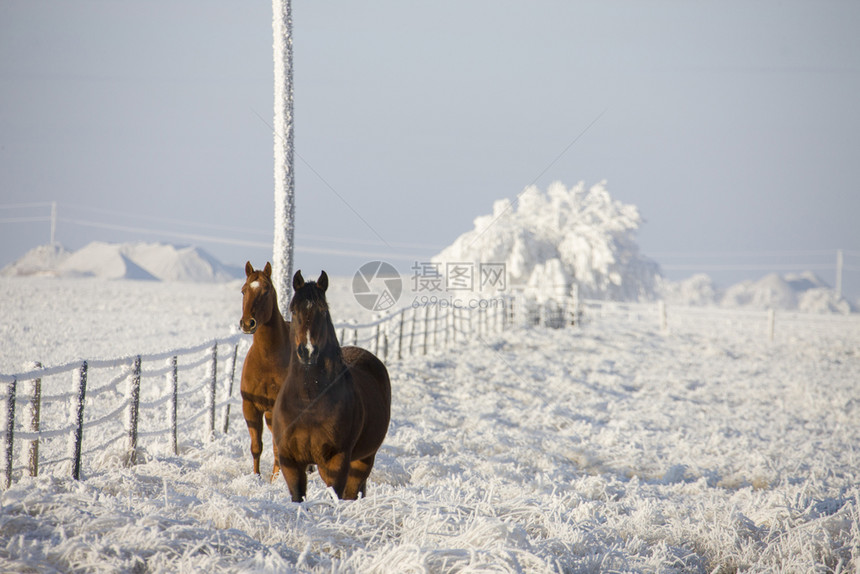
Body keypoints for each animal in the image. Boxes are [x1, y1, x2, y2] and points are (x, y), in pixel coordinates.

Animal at [274, 272, 392, 502]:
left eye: (323, 310)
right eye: (294, 310)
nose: (307, 351)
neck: (309, 402)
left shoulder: (335, 462)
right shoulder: (290, 462)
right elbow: (298, 497)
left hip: (363, 460)